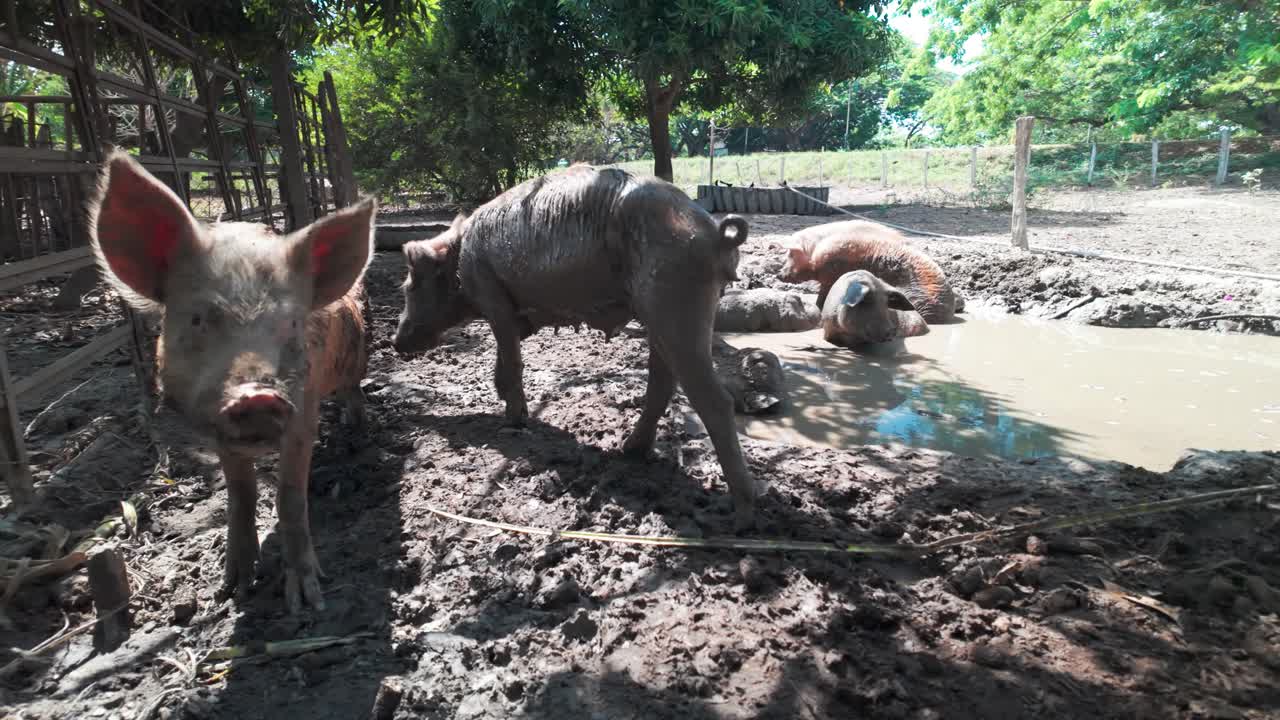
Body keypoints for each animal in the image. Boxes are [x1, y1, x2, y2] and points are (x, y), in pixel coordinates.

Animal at [89, 150, 375, 612]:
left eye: (291, 323)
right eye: (198, 319)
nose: (257, 394)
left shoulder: (303, 413)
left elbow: (289, 497)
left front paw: (307, 601)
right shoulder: (217, 432)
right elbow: (240, 496)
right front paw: (231, 591)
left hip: (355, 360)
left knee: (353, 392)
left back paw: (356, 428)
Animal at [393, 165, 761, 530]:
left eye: (410, 287)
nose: (395, 343)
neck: (459, 260)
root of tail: (715, 235)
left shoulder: (492, 297)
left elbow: (511, 357)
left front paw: (514, 420)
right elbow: (505, 355)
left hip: (674, 301)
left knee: (715, 401)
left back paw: (741, 516)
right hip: (660, 312)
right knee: (662, 381)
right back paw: (628, 450)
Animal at [779, 219, 962, 324]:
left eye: (791, 254)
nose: (779, 274)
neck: (815, 254)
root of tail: (943, 316)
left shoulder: (830, 275)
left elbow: (822, 297)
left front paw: (819, 307)